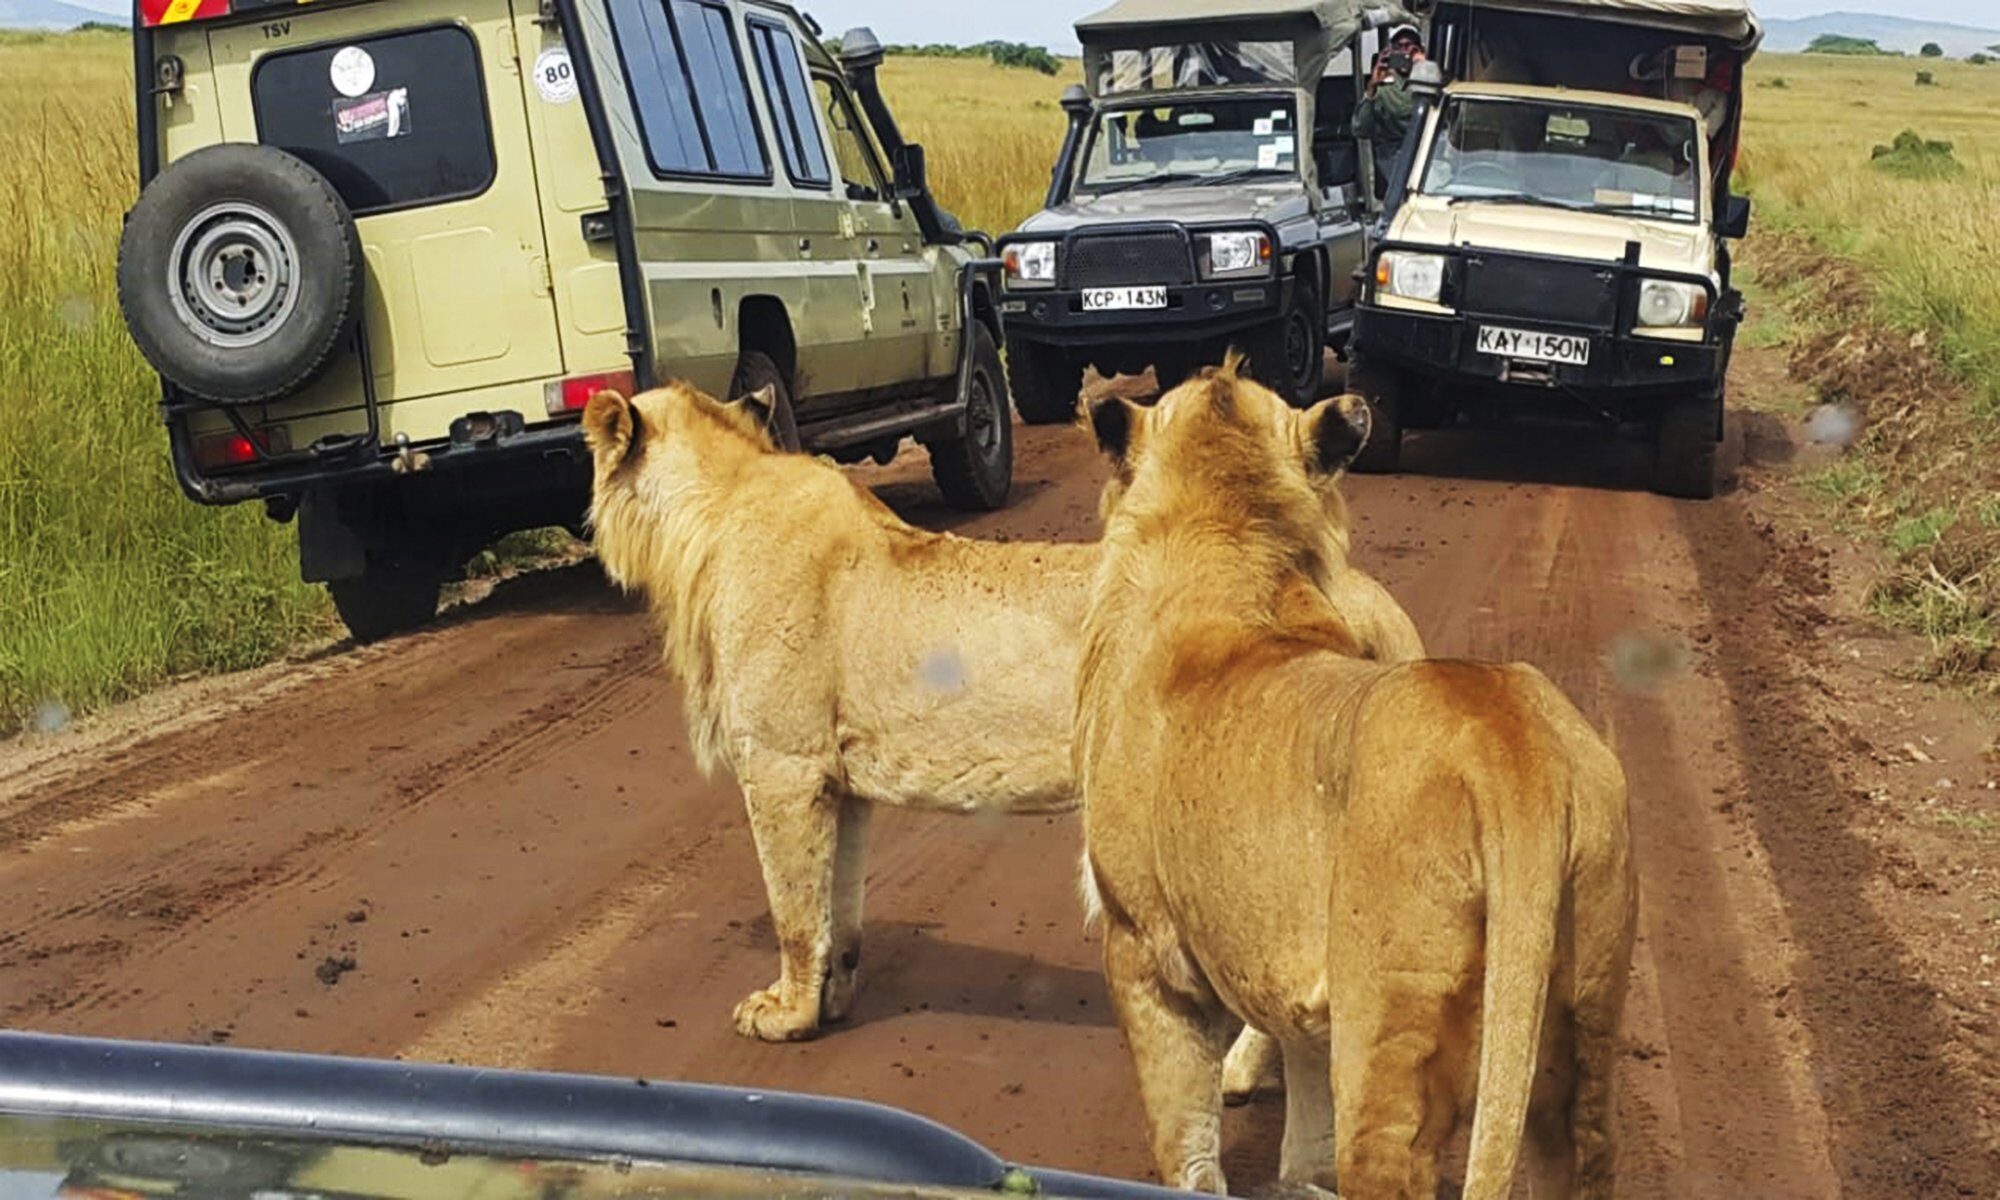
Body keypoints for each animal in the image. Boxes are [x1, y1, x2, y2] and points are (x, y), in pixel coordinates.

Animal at [580, 379, 1424, 1049]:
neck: (712, 513)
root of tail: (1367, 594)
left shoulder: (783, 767)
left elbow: (792, 906)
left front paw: (784, 1015)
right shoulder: (837, 782)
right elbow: (837, 906)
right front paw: (833, 998)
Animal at [1074, 363, 1635, 1199]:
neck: (1222, 539)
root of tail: (1513, 752)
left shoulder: (1144, 950)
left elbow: (1188, 1146)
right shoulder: (1303, 999)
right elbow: (1304, 1145)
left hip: (1389, 1031)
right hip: (1584, 1015)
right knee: (1582, 1144)